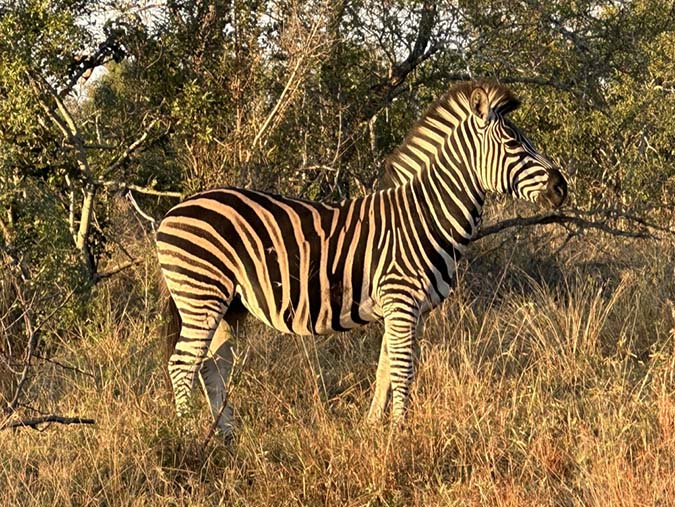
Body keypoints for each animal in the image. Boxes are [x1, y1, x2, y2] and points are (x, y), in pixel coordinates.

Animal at [156, 80, 568, 436]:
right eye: (514, 142)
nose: (561, 187)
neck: (425, 215)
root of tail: (174, 210)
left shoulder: (402, 308)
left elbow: (386, 370)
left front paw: (373, 427)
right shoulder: (401, 300)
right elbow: (402, 370)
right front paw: (402, 432)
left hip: (229, 306)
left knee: (212, 368)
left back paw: (225, 437)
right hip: (202, 296)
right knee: (182, 364)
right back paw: (188, 437)